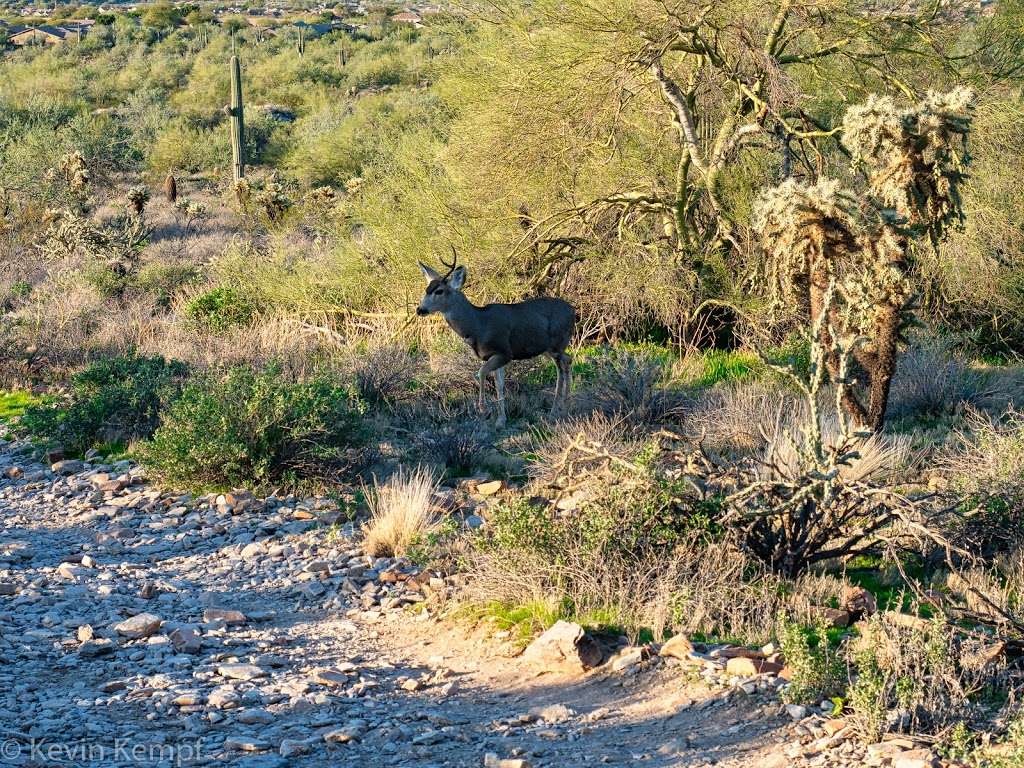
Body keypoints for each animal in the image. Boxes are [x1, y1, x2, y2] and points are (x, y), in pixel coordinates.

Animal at [415, 250, 577, 428]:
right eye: (426, 289)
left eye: (439, 291)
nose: (420, 309)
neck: (478, 325)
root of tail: (573, 311)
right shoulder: (494, 356)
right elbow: (499, 385)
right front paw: (501, 420)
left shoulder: (504, 352)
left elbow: (481, 372)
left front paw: (484, 410)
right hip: (548, 348)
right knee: (566, 361)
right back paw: (563, 406)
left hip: (557, 343)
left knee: (562, 366)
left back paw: (557, 410)